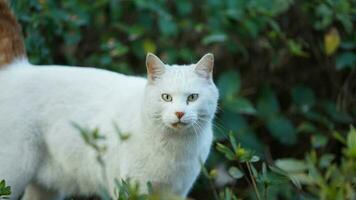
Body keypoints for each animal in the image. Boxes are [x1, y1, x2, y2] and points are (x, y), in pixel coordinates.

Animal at [0, 1, 218, 200]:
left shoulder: (176, 192)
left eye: (192, 97)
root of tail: (19, 68)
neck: (176, 148)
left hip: (46, 187)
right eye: (166, 97)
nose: (179, 113)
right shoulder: (132, 189)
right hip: (13, 170)